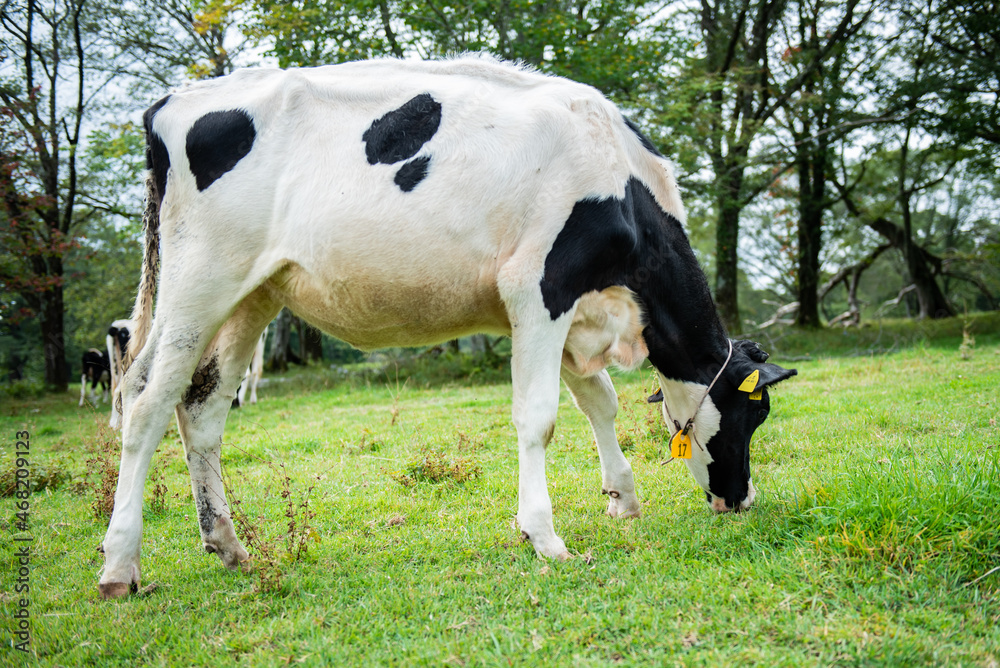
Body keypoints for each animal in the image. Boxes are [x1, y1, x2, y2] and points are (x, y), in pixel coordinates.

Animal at [95, 56, 796, 600]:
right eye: (752, 414)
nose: (741, 499)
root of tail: (175, 100)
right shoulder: (539, 287)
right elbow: (539, 416)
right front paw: (544, 536)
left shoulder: (572, 310)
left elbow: (601, 402)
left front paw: (621, 496)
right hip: (201, 279)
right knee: (146, 397)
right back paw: (120, 566)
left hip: (253, 294)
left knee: (203, 404)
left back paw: (228, 545)